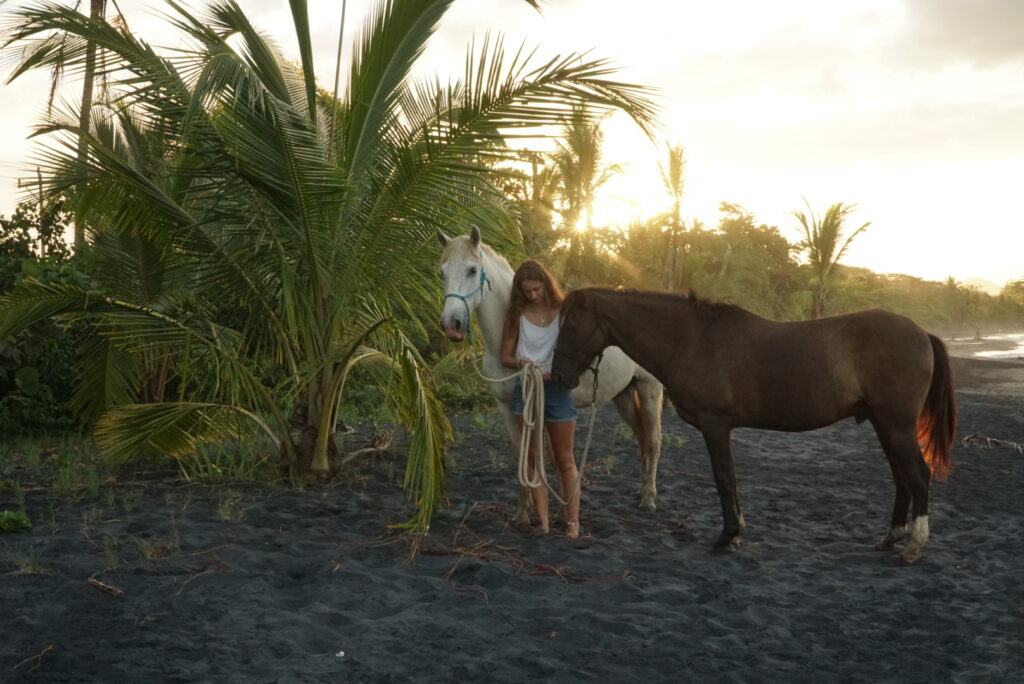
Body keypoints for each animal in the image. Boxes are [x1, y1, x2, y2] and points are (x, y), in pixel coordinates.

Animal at [436, 227, 665, 529]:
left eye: (473, 270)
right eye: (442, 272)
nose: (451, 325)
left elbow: (548, 457)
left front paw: (556, 514)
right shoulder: (507, 407)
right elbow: (522, 455)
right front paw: (523, 515)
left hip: (650, 389)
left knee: (652, 442)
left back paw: (649, 499)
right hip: (624, 395)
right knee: (641, 439)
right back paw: (640, 492)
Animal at [551, 288, 956, 564]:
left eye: (571, 324)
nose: (558, 377)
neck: (690, 339)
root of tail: (922, 333)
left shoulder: (716, 426)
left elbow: (724, 481)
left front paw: (728, 536)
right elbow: (728, 480)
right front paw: (735, 533)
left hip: (896, 425)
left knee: (918, 475)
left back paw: (914, 546)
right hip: (884, 424)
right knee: (902, 478)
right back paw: (891, 537)